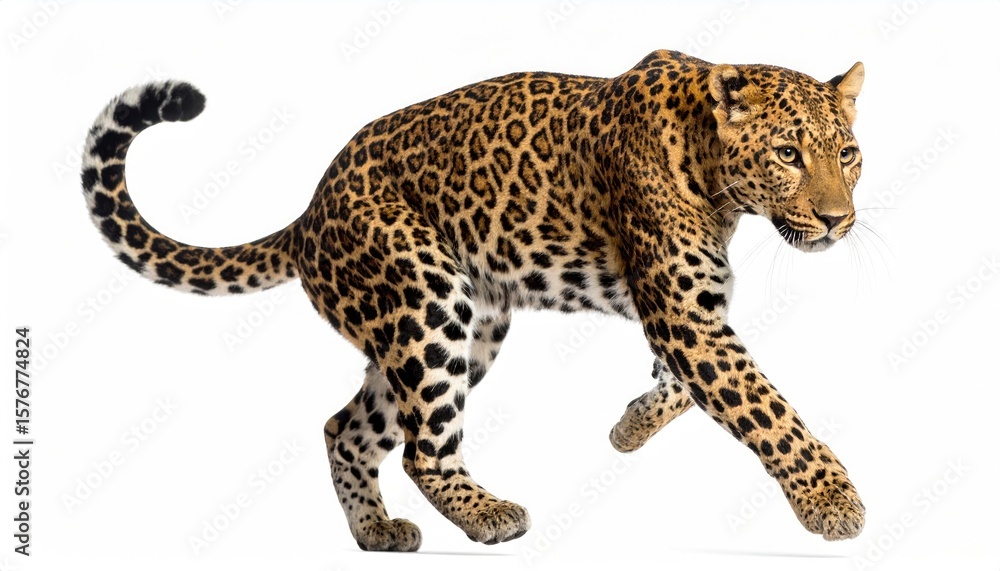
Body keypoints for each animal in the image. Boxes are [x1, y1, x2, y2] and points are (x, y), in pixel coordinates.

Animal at [80, 49, 866, 551]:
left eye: (847, 154)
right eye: (788, 153)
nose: (838, 221)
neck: (713, 167)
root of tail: (308, 213)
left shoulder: (691, 314)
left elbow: (692, 388)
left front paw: (627, 429)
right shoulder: (684, 316)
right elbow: (767, 408)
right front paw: (833, 503)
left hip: (451, 328)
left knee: (347, 427)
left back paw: (377, 531)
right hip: (427, 302)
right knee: (423, 451)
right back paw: (489, 514)